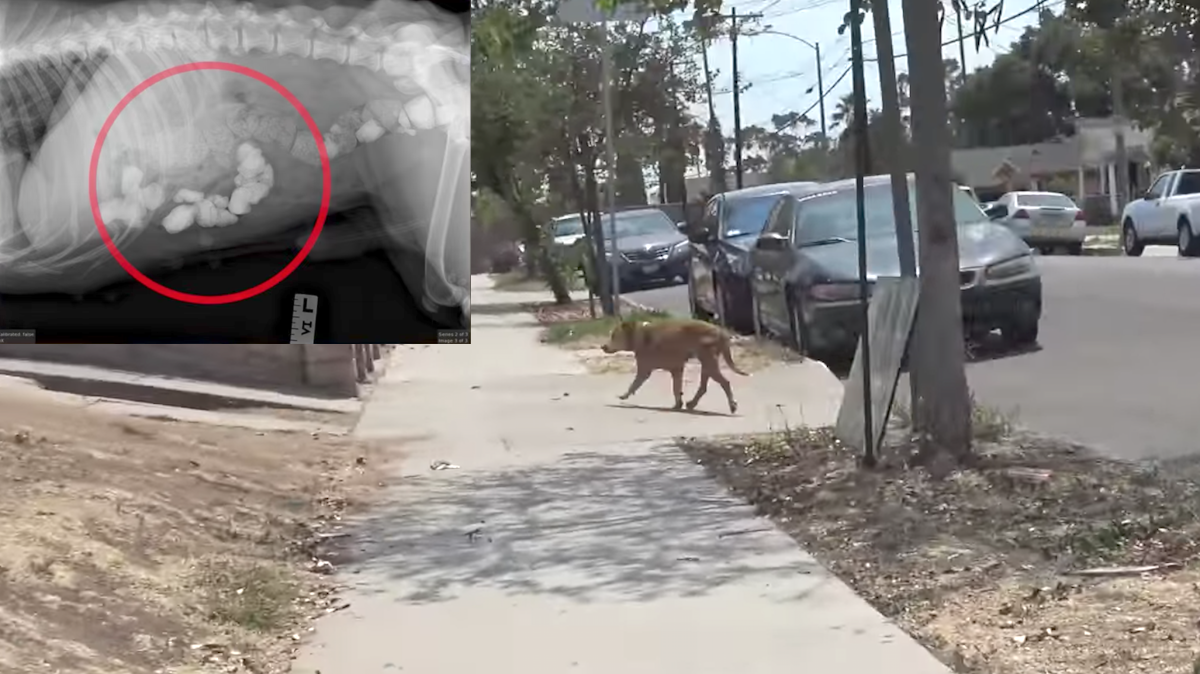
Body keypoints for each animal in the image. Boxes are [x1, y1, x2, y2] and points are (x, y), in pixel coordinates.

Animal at [604, 316, 744, 412]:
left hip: (709, 362)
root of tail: (721, 331)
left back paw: (732, 405)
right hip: (706, 365)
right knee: (703, 387)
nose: (603, 346)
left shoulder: (644, 371)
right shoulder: (676, 369)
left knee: (725, 382)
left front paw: (624, 395)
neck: (638, 334)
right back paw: (692, 404)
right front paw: (678, 404)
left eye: (614, 335)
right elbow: (676, 389)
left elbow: (633, 385)